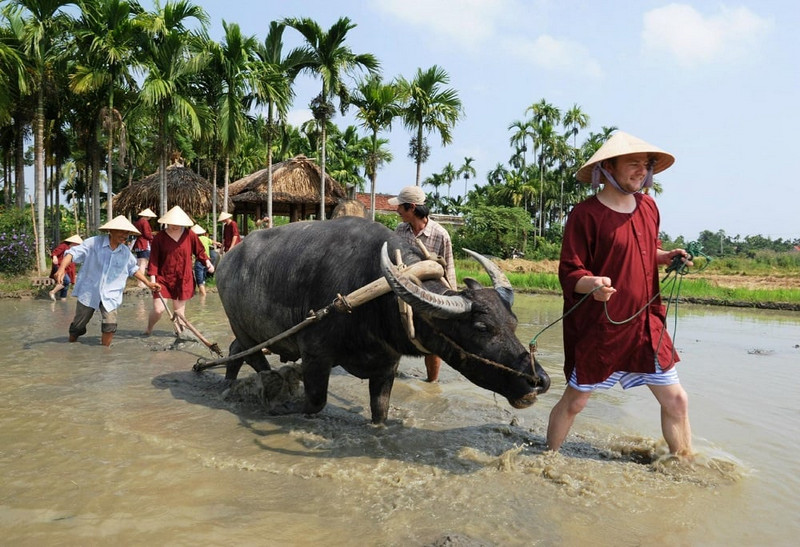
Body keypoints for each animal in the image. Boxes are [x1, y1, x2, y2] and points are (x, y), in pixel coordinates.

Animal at [214, 217, 552, 424]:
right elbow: (315, 402)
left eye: (513, 322)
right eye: (482, 328)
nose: (539, 381)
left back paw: (228, 384)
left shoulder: (387, 365)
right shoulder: (315, 356)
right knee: (255, 360)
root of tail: (226, 260)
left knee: (234, 352)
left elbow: (380, 411)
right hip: (244, 328)